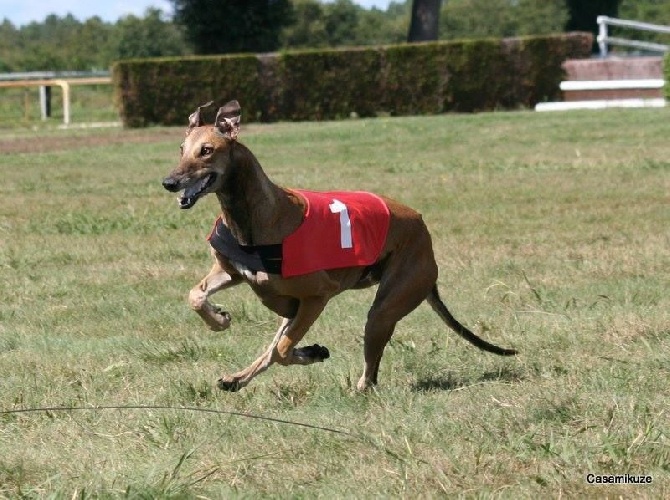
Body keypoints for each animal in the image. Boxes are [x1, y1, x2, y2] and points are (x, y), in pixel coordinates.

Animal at [164, 100, 520, 390]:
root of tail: (422, 228)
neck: (254, 216)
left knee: (364, 373)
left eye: (206, 150)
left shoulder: (318, 296)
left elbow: (283, 351)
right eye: (181, 148)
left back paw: (353, 381)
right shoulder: (236, 273)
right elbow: (196, 295)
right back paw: (236, 378)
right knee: (273, 348)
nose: (169, 182)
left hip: (385, 307)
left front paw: (311, 352)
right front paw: (220, 320)